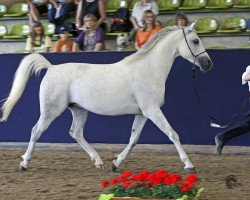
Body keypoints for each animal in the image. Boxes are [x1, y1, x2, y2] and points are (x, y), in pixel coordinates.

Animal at [0, 21, 213, 172]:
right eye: (195, 41)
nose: (208, 64)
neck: (149, 69)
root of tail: (51, 68)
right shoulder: (152, 110)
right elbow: (172, 133)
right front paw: (189, 165)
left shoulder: (143, 113)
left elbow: (133, 139)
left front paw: (115, 163)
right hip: (50, 111)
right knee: (36, 131)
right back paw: (24, 163)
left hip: (79, 110)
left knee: (76, 133)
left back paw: (98, 161)